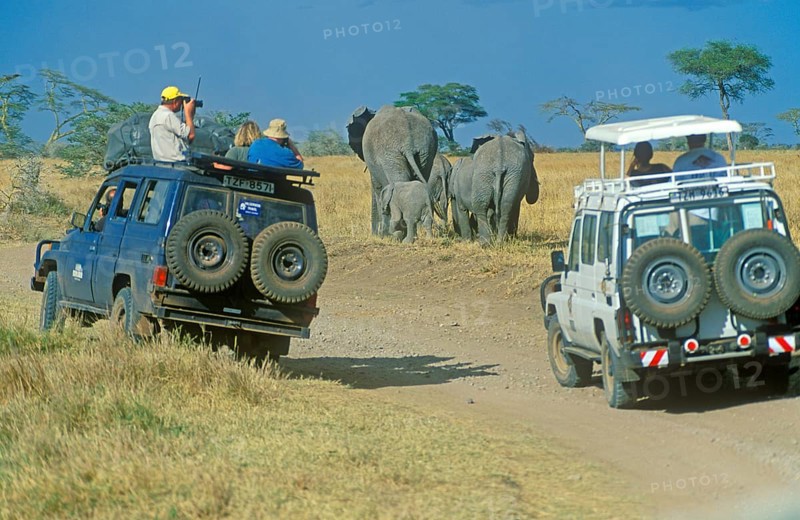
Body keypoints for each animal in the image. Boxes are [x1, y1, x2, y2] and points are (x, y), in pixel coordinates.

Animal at [347, 105, 439, 236]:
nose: (374, 233)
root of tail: (408, 144)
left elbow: (377, 187)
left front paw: (382, 235)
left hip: (389, 153)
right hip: (426, 149)